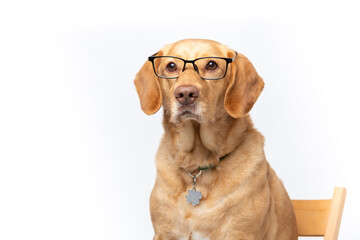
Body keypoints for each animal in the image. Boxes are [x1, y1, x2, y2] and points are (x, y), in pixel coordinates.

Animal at [134, 38, 296, 239]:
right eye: (171, 66)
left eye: (211, 65)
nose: (185, 94)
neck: (197, 164)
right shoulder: (165, 232)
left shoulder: (240, 233)